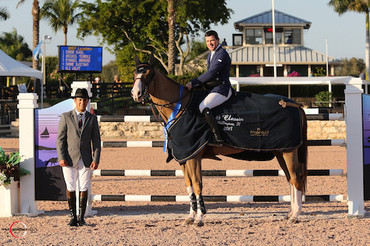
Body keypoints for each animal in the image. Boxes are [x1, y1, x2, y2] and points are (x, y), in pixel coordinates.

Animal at [132, 56, 308, 227]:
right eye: (135, 73)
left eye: (148, 73)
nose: (136, 93)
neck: (181, 105)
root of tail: (294, 104)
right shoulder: (184, 157)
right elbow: (189, 185)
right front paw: (190, 217)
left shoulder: (193, 155)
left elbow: (197, 184)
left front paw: (199, 218)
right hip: (281, 151)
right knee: (290, 179)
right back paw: (290, 213)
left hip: (288, 151)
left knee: (296, 178)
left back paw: (295, 215)